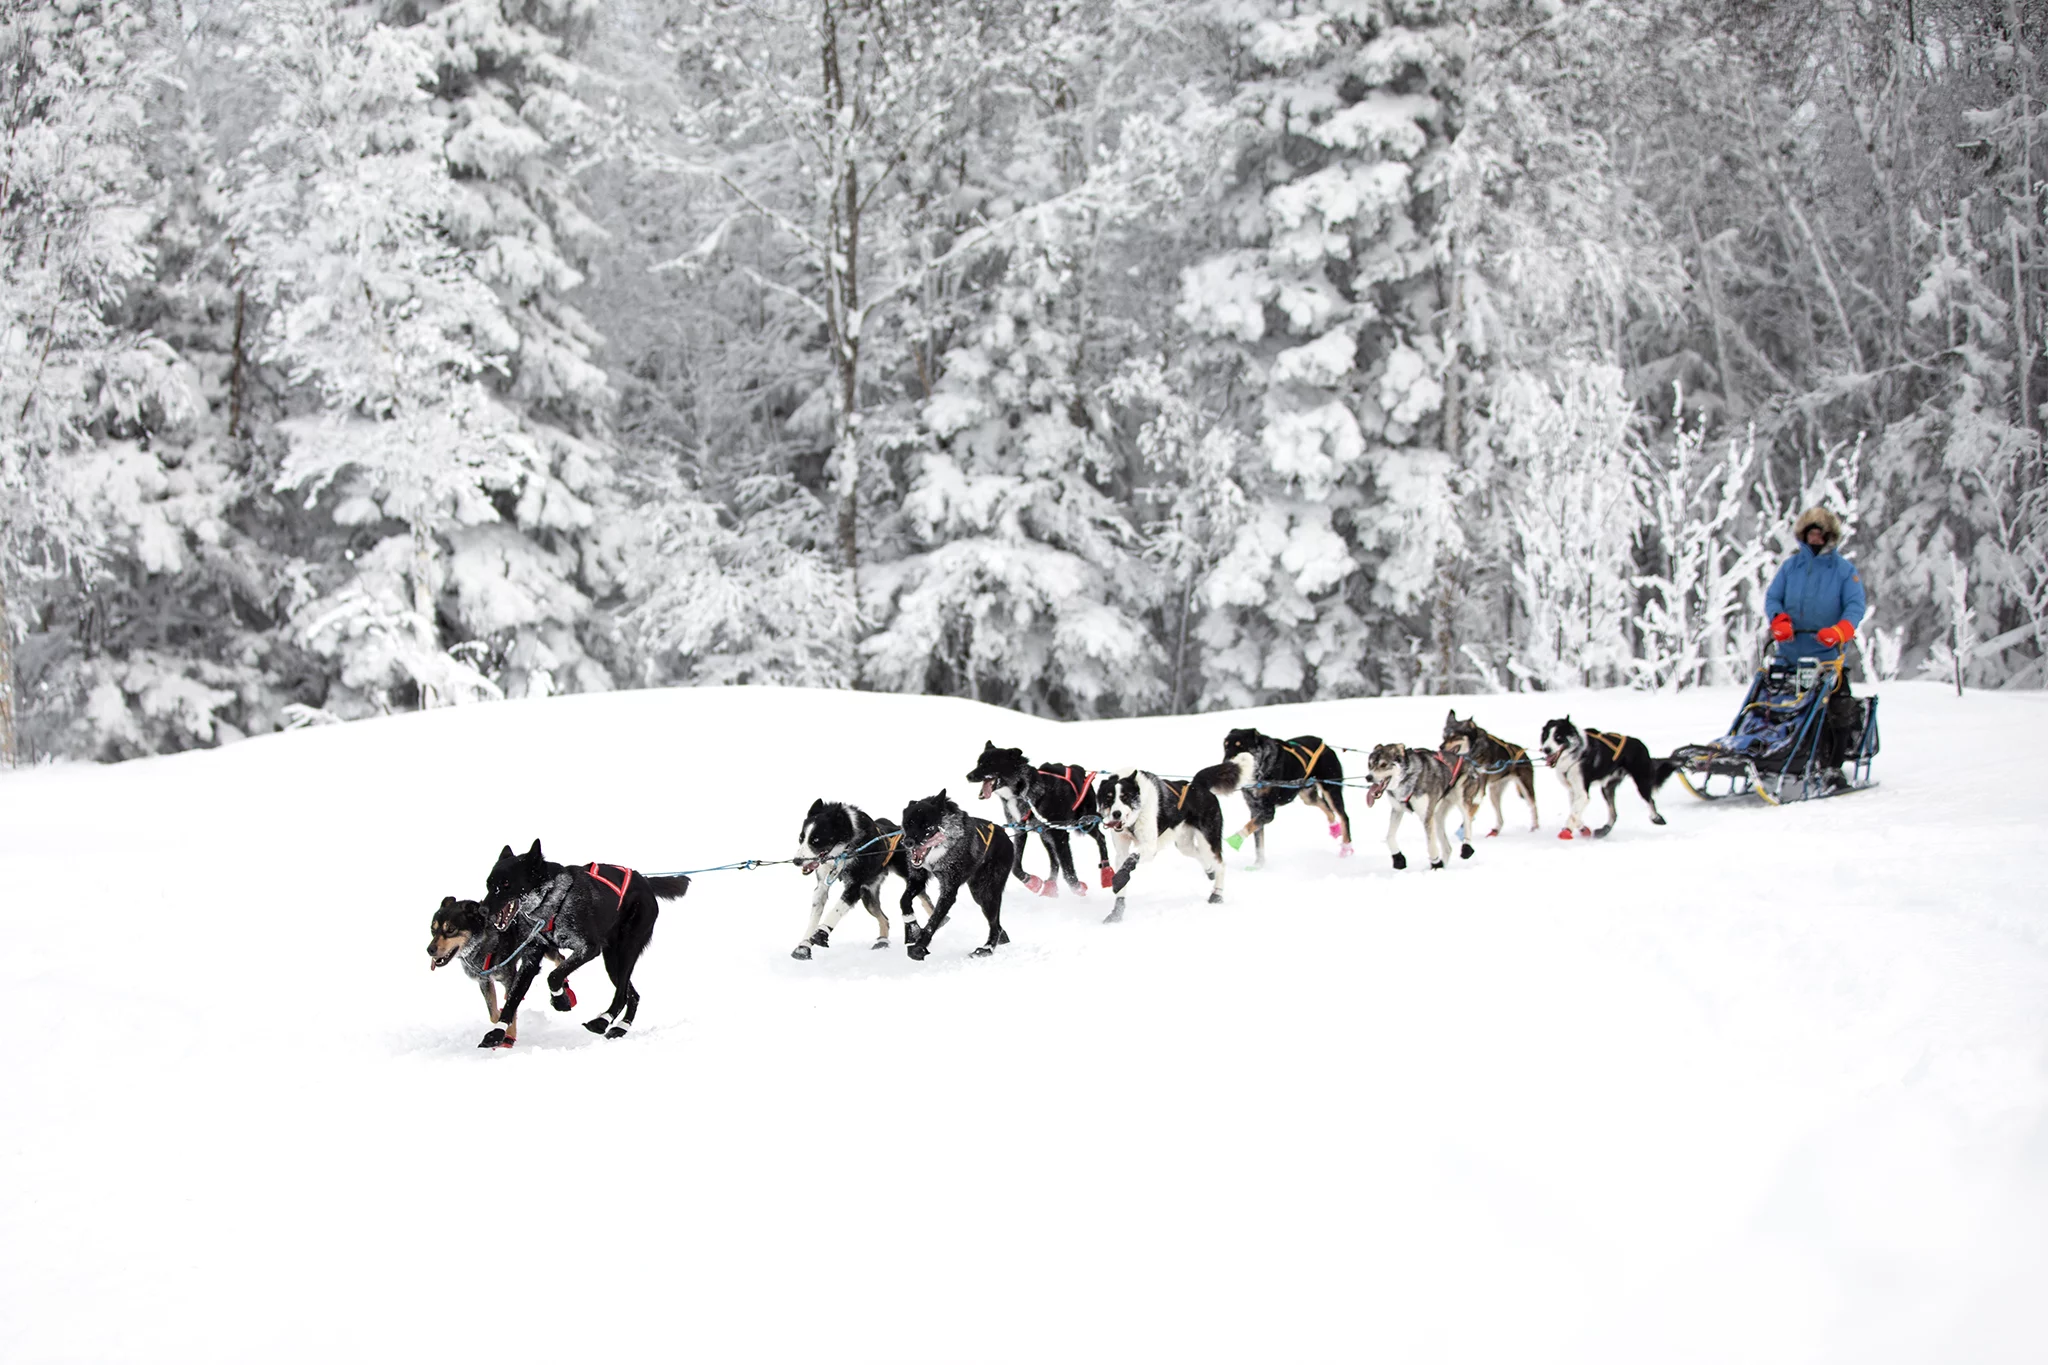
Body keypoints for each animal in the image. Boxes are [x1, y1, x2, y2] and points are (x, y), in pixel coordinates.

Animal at [790, 802, 937, 961]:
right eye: (801, 838)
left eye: (816, 840)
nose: (796, 861)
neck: (844, 850)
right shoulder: (822, 887)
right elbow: (813, 917)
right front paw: (803, 946)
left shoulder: (854, 887)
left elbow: (835, 911)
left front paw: (821, 933)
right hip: (867, 894)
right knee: (885, 919)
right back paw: (882, 941)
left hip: (910, 879)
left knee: (927, 901)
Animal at [1097, 773, 1220, 925]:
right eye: (1109, 798)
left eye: (1125, 797)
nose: (1116, 814)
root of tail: (1199, 786)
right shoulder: (1121, 852)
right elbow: (1123, 865)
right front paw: (1117, 914)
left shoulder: (1150, 847)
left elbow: (1131, 858)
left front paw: (1119, 879)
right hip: (1184, 844)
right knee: (1199, 855)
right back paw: (1210, 870)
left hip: (1208, 840)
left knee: (1221, 864)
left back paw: (1218, 894)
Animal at [1359, 740, 1474, 871]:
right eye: (1370, 765)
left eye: (1383, 764)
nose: (1368, 777)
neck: (1408, 777)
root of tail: (1463, 758)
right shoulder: (1397, 810)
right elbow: (1389, 837)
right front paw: (1398, 859)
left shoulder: (1426, 816)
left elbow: (1431, 845)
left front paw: (1436, 863)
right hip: (1437, 817)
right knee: (1448, 848)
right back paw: (1442, 867)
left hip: (1461, 799)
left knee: (1468, 820)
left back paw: (1466, 847)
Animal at [1540, 720, 1679, 839]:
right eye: (1546, 736)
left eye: (1558, 737)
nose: (1546, 749)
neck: (1576, 754)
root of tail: (1640, 743)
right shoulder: (1573, 791)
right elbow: (1575, 812)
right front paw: (1583, 828)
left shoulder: (1582, 792)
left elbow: (1574, 813)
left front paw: (1567, 829)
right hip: (1607, 788)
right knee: (1614, 813)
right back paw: (1604, 829)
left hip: (1641, 783)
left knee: (1651, 801)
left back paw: (1656, 818)